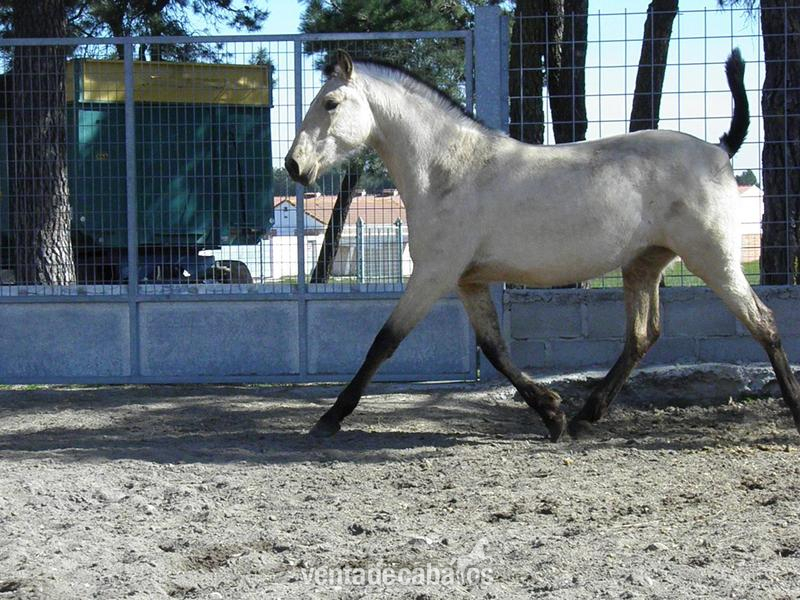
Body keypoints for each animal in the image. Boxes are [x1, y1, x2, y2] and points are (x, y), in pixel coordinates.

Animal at [285, 50, 800, 442]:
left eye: (330, 102)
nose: (294, 165)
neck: (448, 171)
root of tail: (719, 150)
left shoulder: (433, 274)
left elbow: (384, 342)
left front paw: (329, 419)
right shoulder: (467, 281)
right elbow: (495, 349)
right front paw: (551, 414)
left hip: (713, 259)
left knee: (764, 323)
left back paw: (794, 410)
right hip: (644, 265)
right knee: (642, 337)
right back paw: (585, 415)